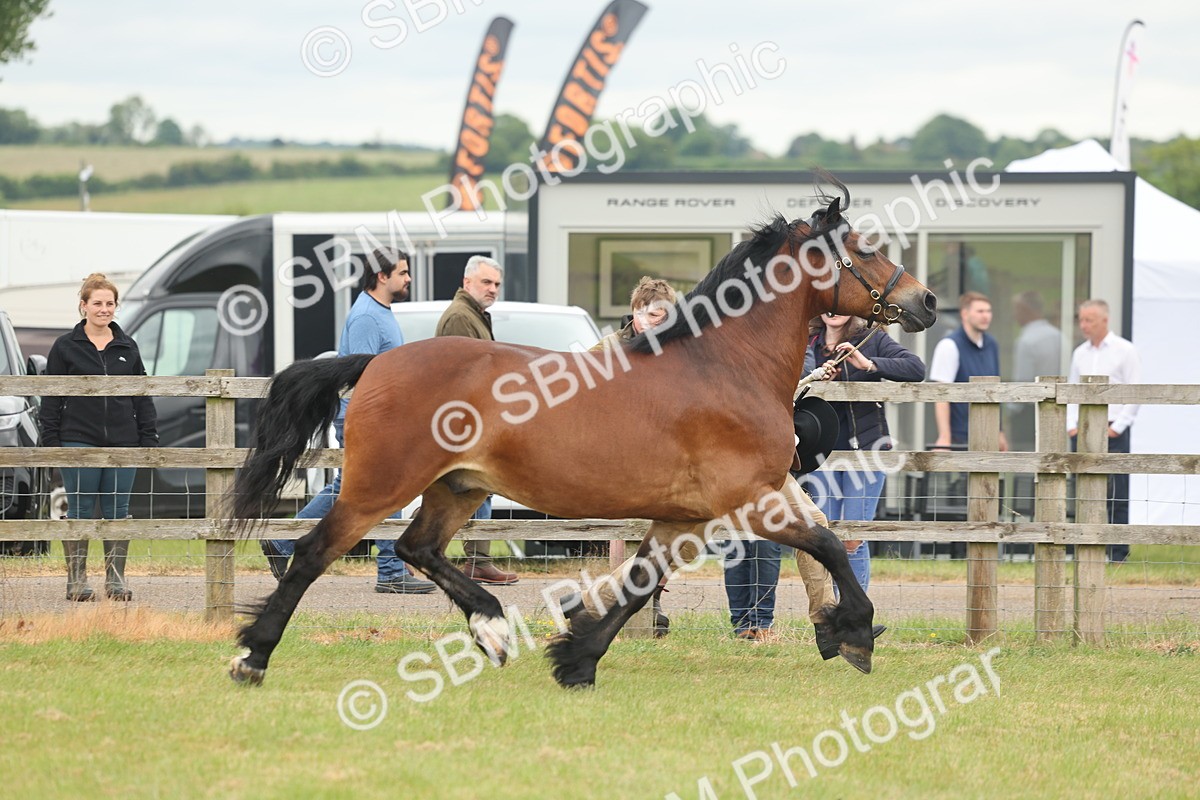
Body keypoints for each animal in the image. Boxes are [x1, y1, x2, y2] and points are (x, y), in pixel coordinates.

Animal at [227, 178, 938, 688]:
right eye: (865, 248)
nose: (926, 301)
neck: (725, 365)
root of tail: (376, 361)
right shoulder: (748, 502)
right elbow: (830, 544)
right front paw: (854, 632)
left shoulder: (681, 517)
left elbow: (639, 583)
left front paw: (576, 658)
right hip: (380, 484)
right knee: (315, 553)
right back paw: (252, 658)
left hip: (456, 487)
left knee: (417, 548)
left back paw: (492, 628)